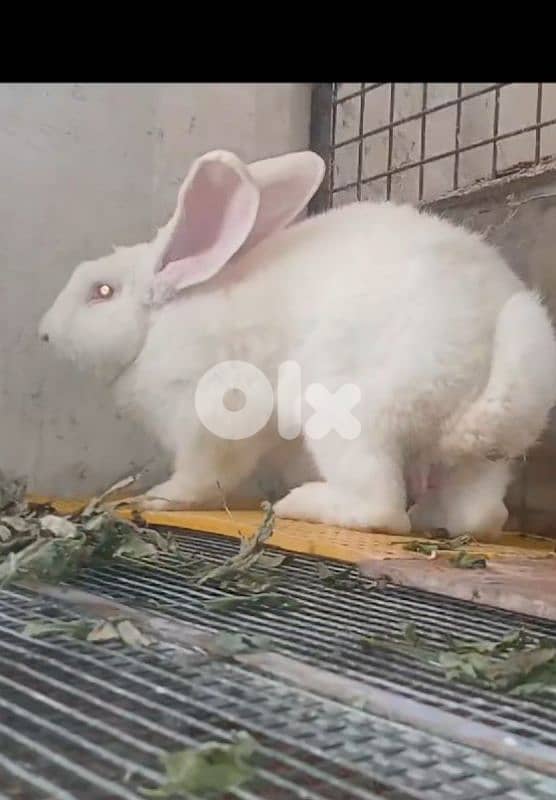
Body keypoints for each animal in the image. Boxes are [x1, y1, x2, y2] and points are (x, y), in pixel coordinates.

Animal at [39, 148, 556, 536]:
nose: (44, 331)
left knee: (381, 508)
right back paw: (434, 517)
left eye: (101, 292)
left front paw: (158, 497)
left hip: (349, 417)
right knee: (482, 513)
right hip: (482, 457)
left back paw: (300, 504)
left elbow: (205, 473)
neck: (156, 328)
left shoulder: (213, 417)